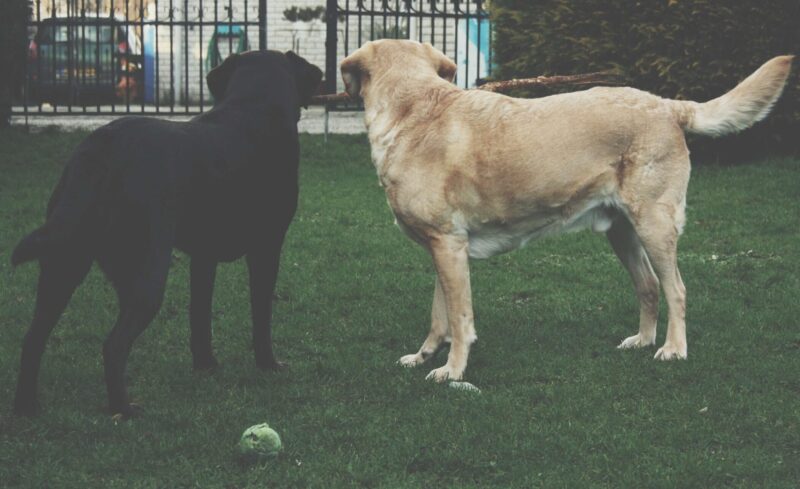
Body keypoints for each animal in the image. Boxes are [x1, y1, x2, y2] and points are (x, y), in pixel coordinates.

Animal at [10, 49, 322, 418]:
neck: (254, 105)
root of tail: (102, 146)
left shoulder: (204, 256)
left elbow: (199, 314)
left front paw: (206, 366)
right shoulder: (267, 247)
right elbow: (261, 314)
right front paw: (268, 365)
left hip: (65, 260)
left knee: (33, 338)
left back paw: (26, 407)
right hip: (148, 268)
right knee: (113, 345)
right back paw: (124, 409)